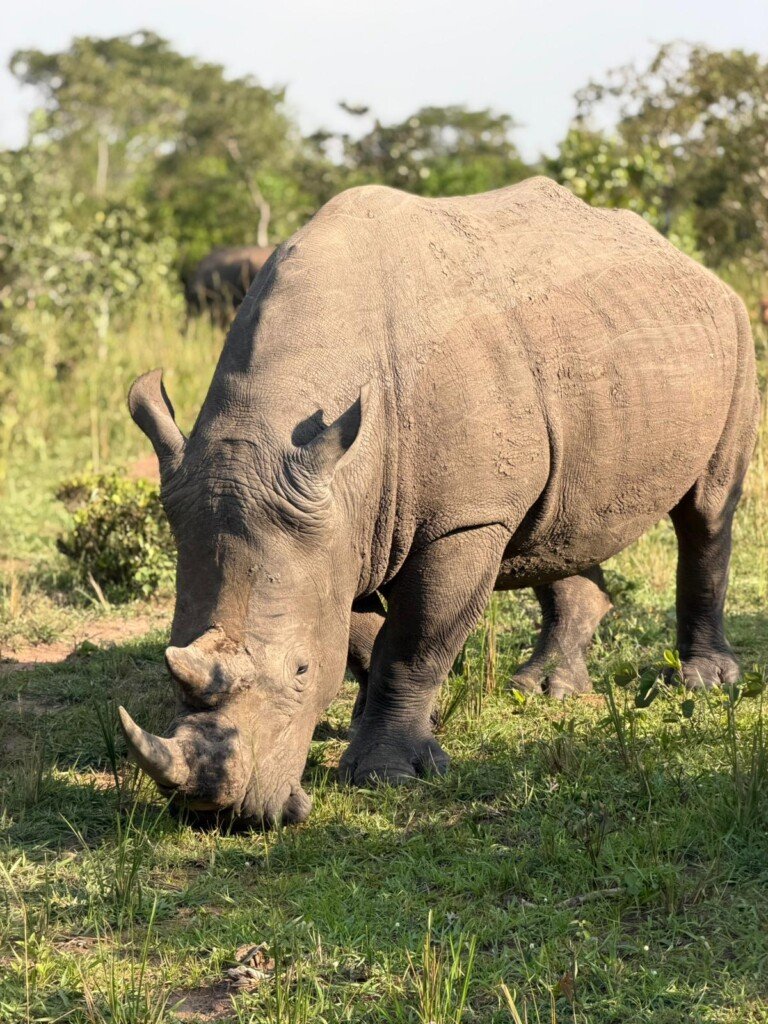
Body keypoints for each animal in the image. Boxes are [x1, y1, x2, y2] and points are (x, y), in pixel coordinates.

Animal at [120, 178, 759, 828]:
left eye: (301, 670)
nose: (219, 814)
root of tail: (689, 263)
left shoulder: (459, 522)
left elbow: (414, 642)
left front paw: (386, 774)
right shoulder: (339, 528)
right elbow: (363, 638)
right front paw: (401, 729)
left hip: (734, 333)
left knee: (707, 512)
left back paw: (707, 682)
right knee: (557, 528)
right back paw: (544, 689)